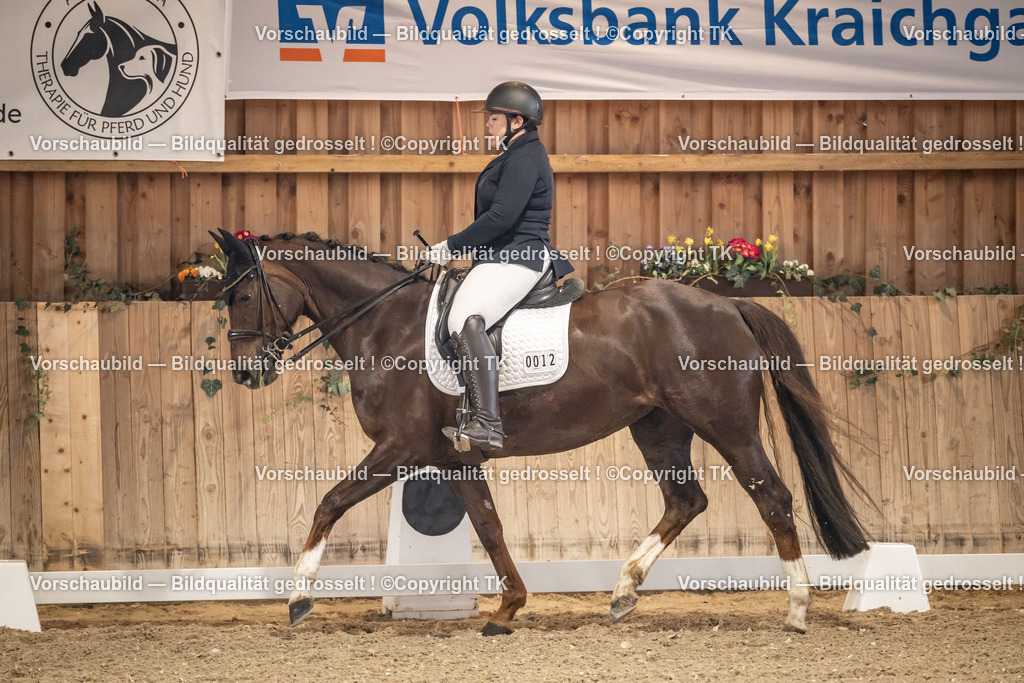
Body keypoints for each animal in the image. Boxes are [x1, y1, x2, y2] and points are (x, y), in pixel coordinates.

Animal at [210, 229, 870, 636]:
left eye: (241, 297)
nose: (246, 372)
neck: (384, 325)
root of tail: (729, 305)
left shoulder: (400, 448)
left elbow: (329, 502)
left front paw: (298, 598)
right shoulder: (453, 458)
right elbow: (489, 527)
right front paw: (507, 608)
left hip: (725, 425)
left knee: (772, 497)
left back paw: (797, 610)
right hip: (658, 429)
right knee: (686, 500)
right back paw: (623, 591)